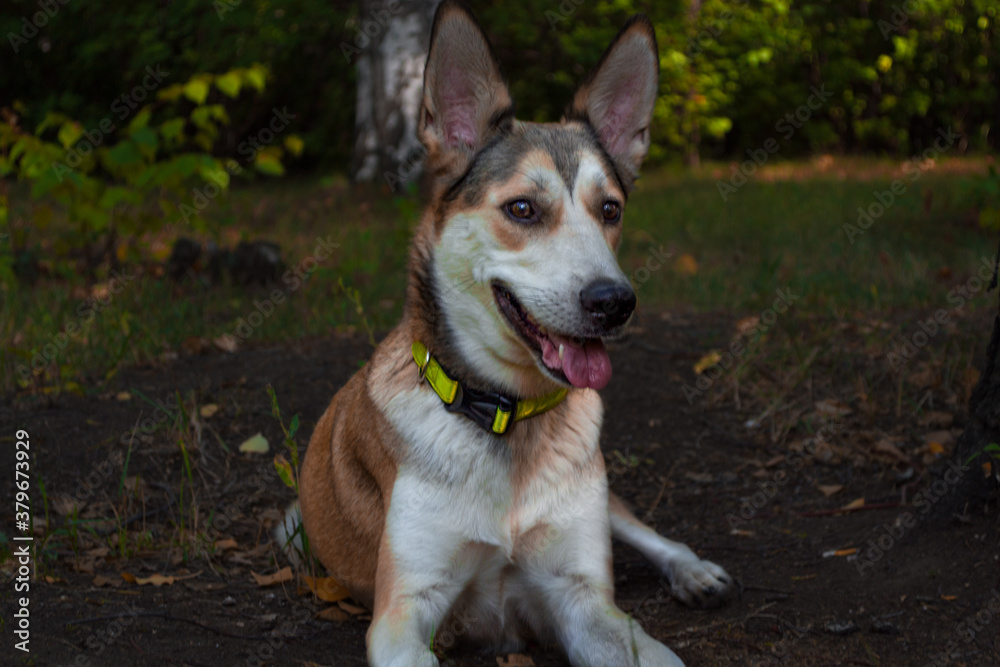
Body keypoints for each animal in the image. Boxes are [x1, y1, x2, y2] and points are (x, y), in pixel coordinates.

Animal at [276, 2, 736, 664]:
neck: (505, 414)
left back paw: (694, 571)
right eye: (522, 209)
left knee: (637, 526)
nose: (614, 303)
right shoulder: (403, 611)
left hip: (599, 492)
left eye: (611, 209)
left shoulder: (581, 598)